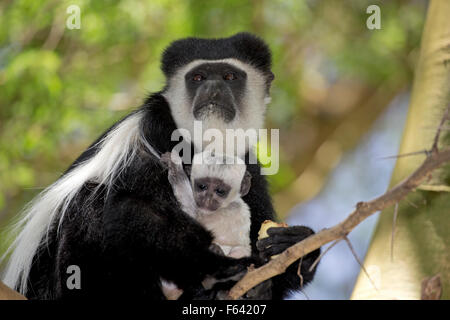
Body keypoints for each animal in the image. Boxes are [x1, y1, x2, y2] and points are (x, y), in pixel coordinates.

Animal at [1, 31, 318, 298]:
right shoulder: (152, 133)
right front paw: (217, 265)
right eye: (198, 77)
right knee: (91, 202)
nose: (213, 88)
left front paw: (294, 245)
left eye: (229, 76)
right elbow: (134, 209)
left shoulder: (249, 164)